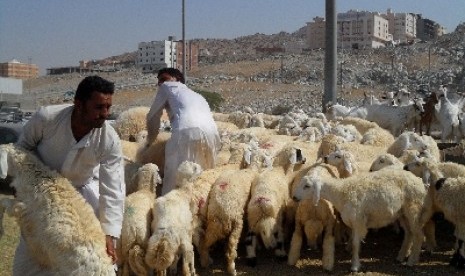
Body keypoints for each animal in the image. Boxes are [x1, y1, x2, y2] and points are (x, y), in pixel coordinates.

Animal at [292, 168, 426, 272]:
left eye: (307, 186)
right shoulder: (353, 221)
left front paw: (355, 266)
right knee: (409, 233)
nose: (294, 197)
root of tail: (419, 181)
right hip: (402, 213)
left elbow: (356, 244)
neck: (341, 192)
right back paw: (401, 256)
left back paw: (411, 261)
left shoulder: (358, 221)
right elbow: (352, 240)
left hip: (413, 208)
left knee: (419, 235)